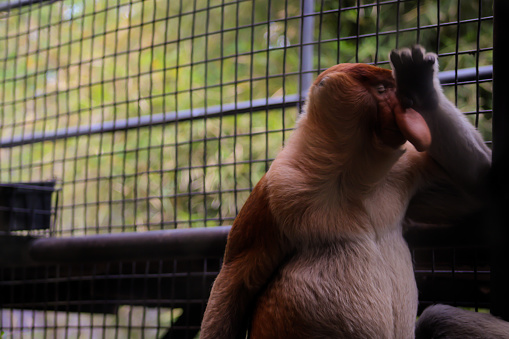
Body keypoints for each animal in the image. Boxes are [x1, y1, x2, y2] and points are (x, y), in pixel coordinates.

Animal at [201, 46, 492, 338]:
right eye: (382, 90)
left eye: (396, 91)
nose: (407, 110)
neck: (351, 178)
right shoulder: (278, 188)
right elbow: (235, 276)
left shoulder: (405, 170)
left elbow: (480, 185)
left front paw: (419, 82)